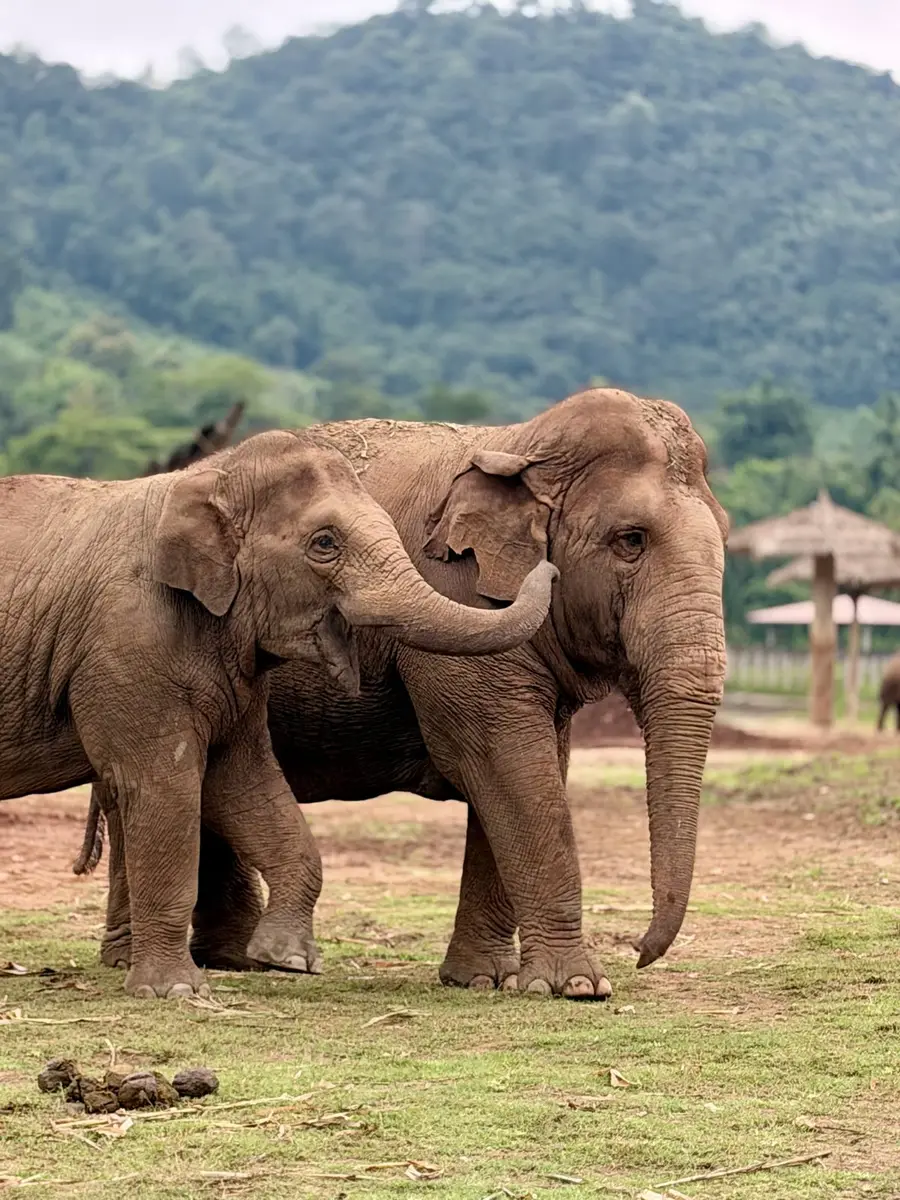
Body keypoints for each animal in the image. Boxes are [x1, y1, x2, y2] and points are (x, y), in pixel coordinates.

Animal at [0, 429, 556, 999]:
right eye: (325, 544)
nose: (549, 565)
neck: (208, 481)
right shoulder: (128, 648)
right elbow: (163, 786)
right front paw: (176, 992)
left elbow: (243, 783)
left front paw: (284, 958)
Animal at [78, 387, 727, 1000]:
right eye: (631, 540)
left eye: (724, 539)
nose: (641, 950)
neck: (519, 443)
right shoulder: (461, 595)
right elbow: (506, 762)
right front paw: (576, 987)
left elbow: (523, 772)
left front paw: (482, 979)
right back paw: (154, 959)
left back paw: (230, 959)